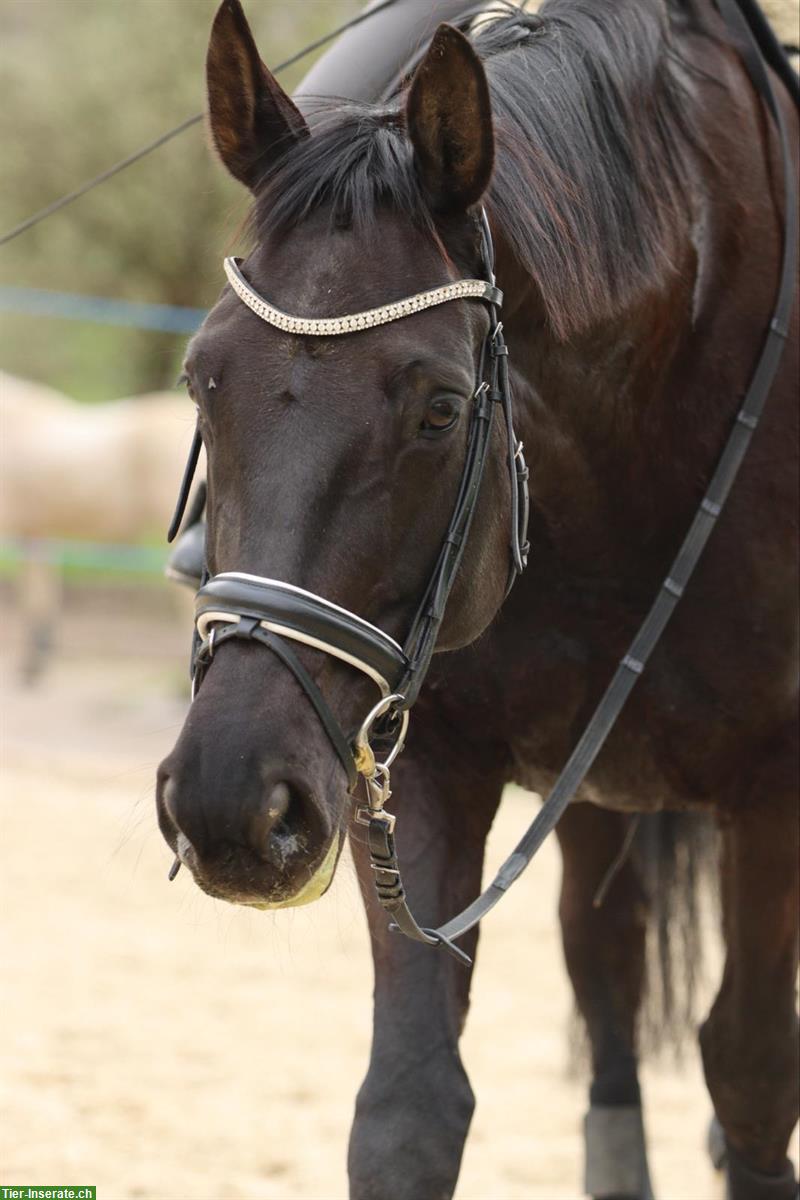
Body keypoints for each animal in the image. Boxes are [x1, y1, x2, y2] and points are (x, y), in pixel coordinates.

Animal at [158, 4, 800, 1195]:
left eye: (442, 408)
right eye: (199, 378)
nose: (230, 804)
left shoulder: (773, 790)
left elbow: (749, 1078)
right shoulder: (418, 757)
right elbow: (409, 1108)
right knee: (604, 967)